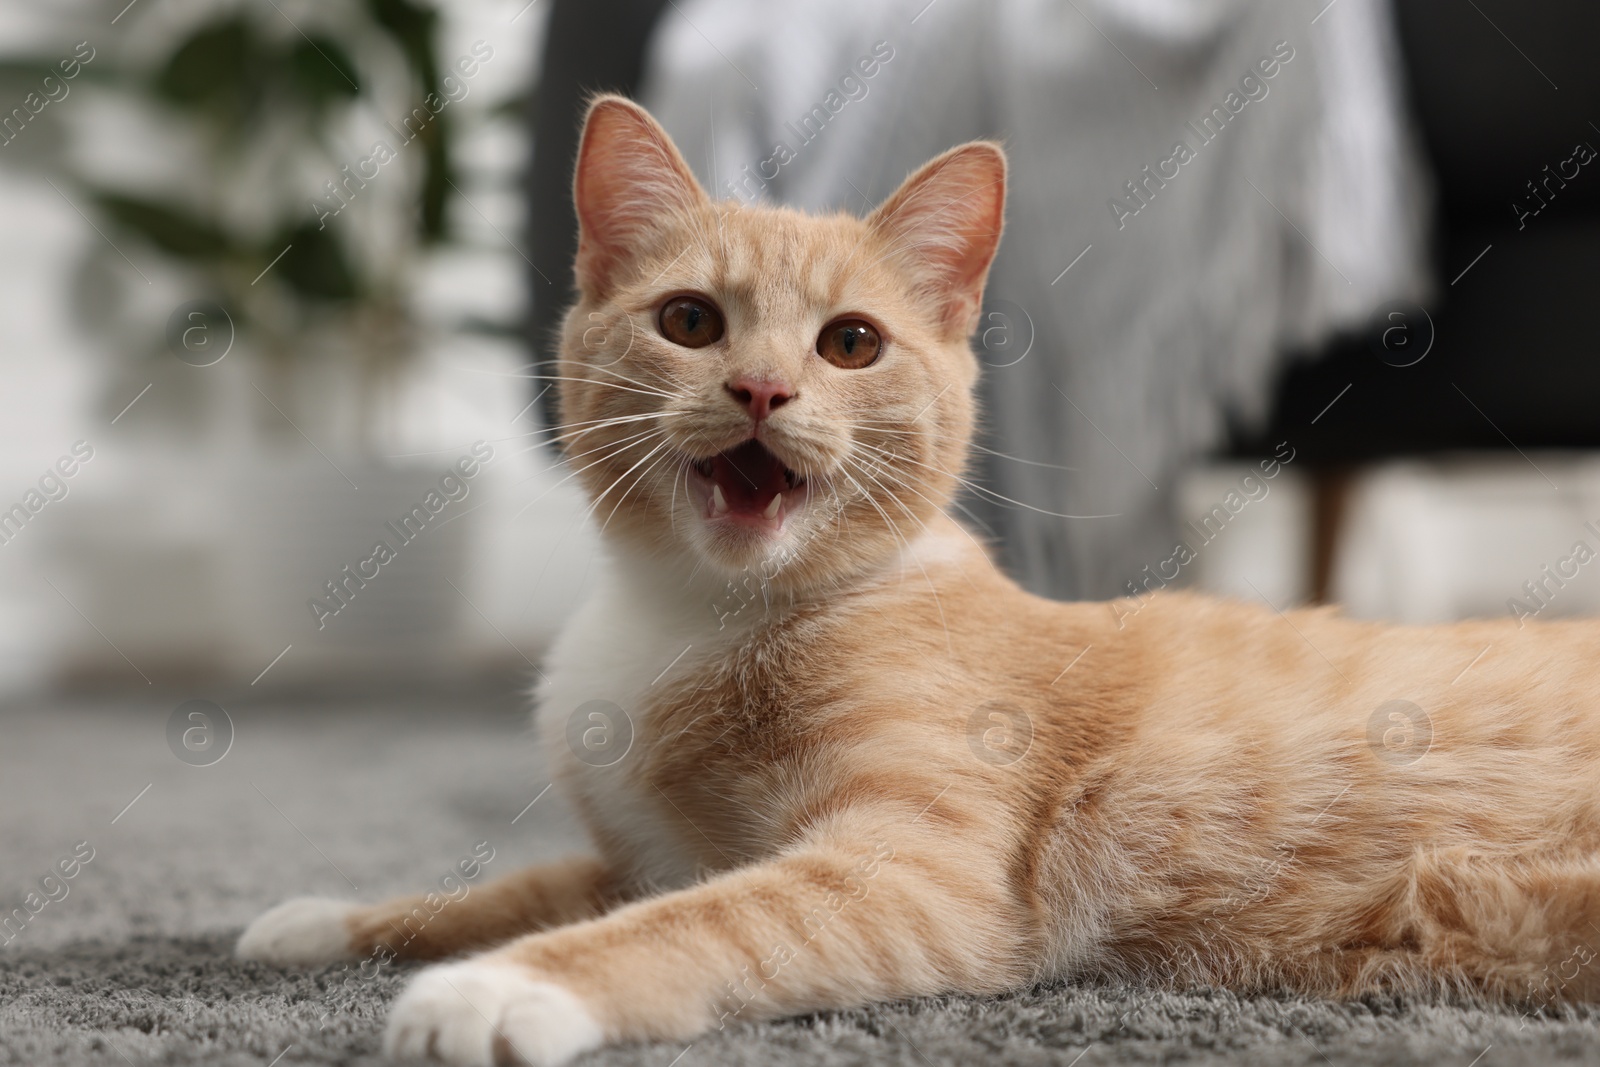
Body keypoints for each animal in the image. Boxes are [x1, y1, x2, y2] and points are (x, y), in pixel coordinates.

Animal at [236, 95, 1600, 1062]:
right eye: (690, 322)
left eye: (850, 343)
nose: (761, 389)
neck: (693, 612)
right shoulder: (642, 853)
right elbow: (527, 885)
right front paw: (336, 919)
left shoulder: (914, 868)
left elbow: (695, 921)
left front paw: (504, 984)